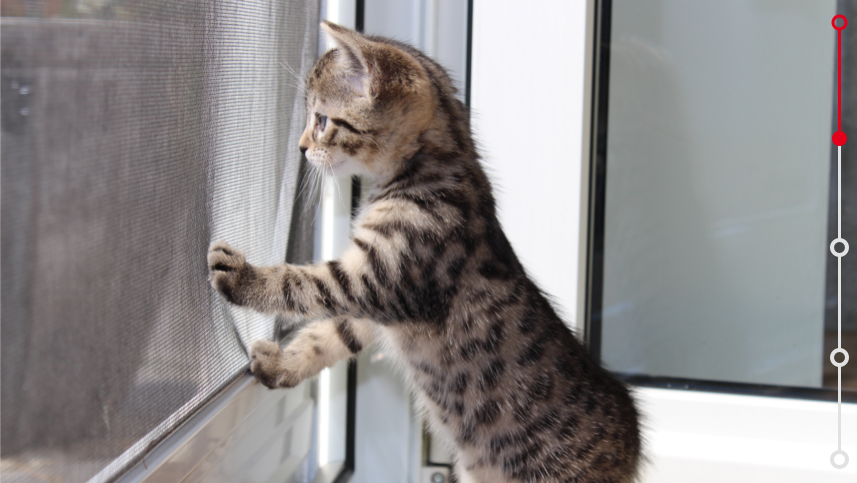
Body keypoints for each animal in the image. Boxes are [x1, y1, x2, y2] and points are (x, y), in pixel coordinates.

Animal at [207, 20, 640, 483]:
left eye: (321, 119)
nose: (302, 148)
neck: (425, 170)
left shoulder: (384, 277)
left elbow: (304, 284)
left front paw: (242, 276)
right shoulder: (376, 296)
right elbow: (332, 333)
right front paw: (283, 365)